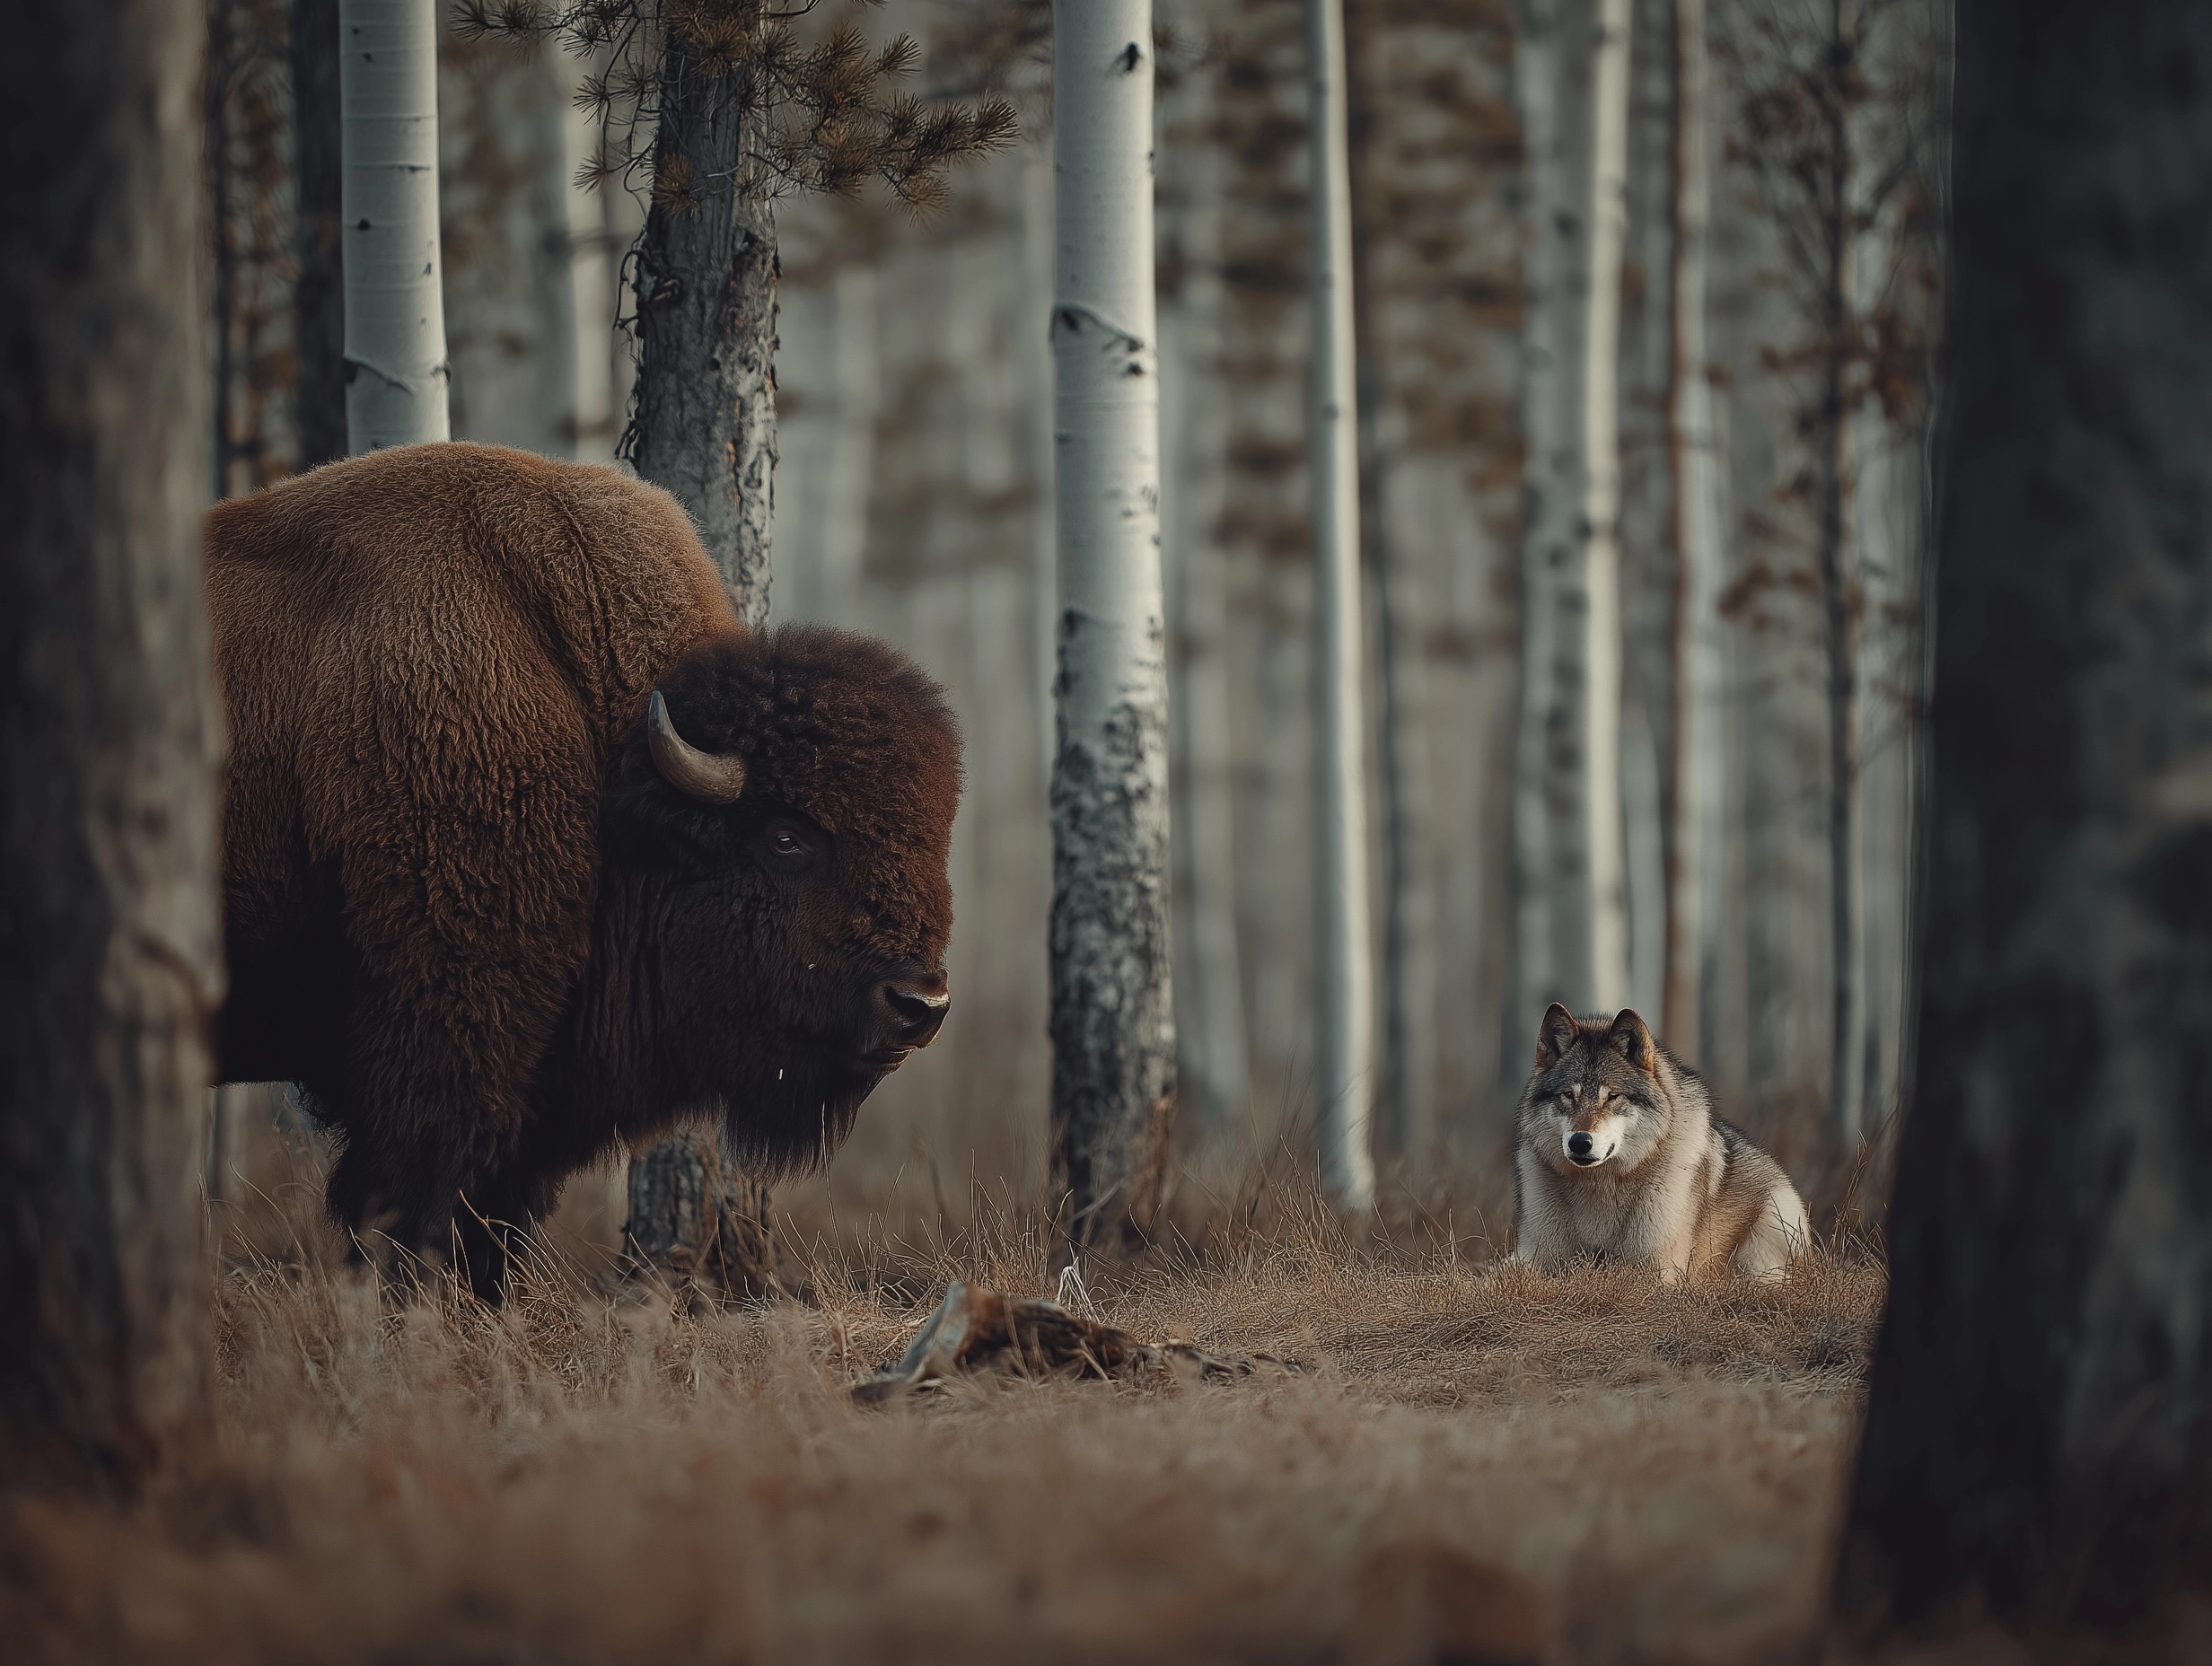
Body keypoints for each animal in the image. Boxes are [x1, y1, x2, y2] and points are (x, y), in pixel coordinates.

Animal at [1511, 1004, 1809, 1279]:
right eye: (1567, 1095)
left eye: (1613, 1096)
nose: (1580, 1142)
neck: (1598, 1186)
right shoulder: (1533, 1256)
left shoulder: (1657, 1269)